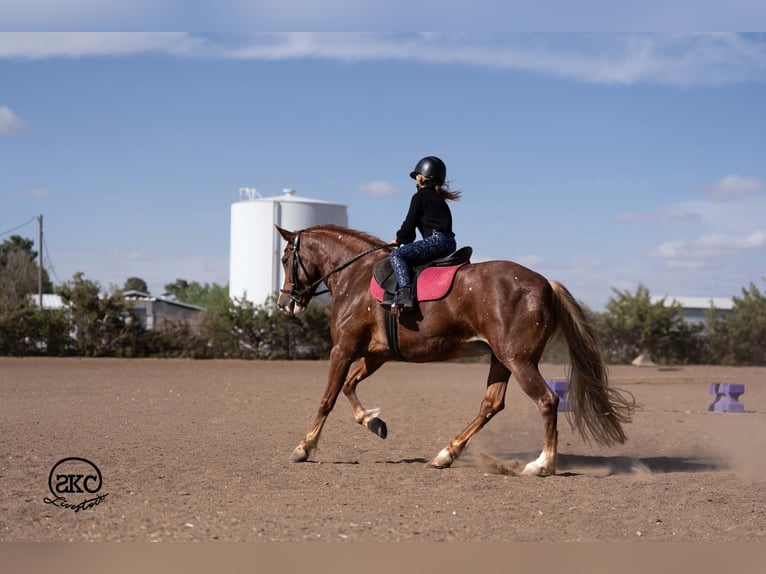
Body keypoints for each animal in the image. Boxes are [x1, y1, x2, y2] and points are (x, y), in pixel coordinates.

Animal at [276, 224, 635, 476]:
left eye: (284, 259)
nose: (284, 304)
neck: (357, 277)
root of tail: (547, 283)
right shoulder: (376, 353)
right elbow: (350, 386)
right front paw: (374, 423)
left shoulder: (343, 348)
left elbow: (328, 398)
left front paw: (304, 448)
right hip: (501, 359)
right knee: (491, 404)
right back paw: (446, 454)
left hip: (518, 360)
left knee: (547, 401)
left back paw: (542, 465)